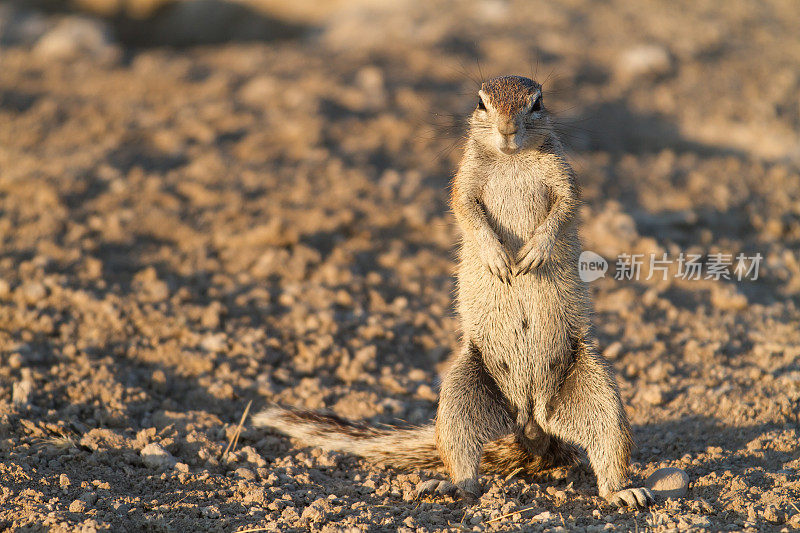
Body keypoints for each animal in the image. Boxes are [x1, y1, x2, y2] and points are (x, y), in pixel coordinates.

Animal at [256, 75, 656, 508]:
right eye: (480, 103)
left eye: (537, 103)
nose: (507, 130)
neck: (511, 159)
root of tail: (531, 425)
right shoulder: (464, 181)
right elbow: (466, 209)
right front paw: (497, 257)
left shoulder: (563, 177)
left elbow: (565, 207)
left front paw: (536, 250)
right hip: (458, 398)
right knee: (463, 461)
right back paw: (450, 486)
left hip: (600, 395)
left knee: (607, 447)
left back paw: (622, 492)